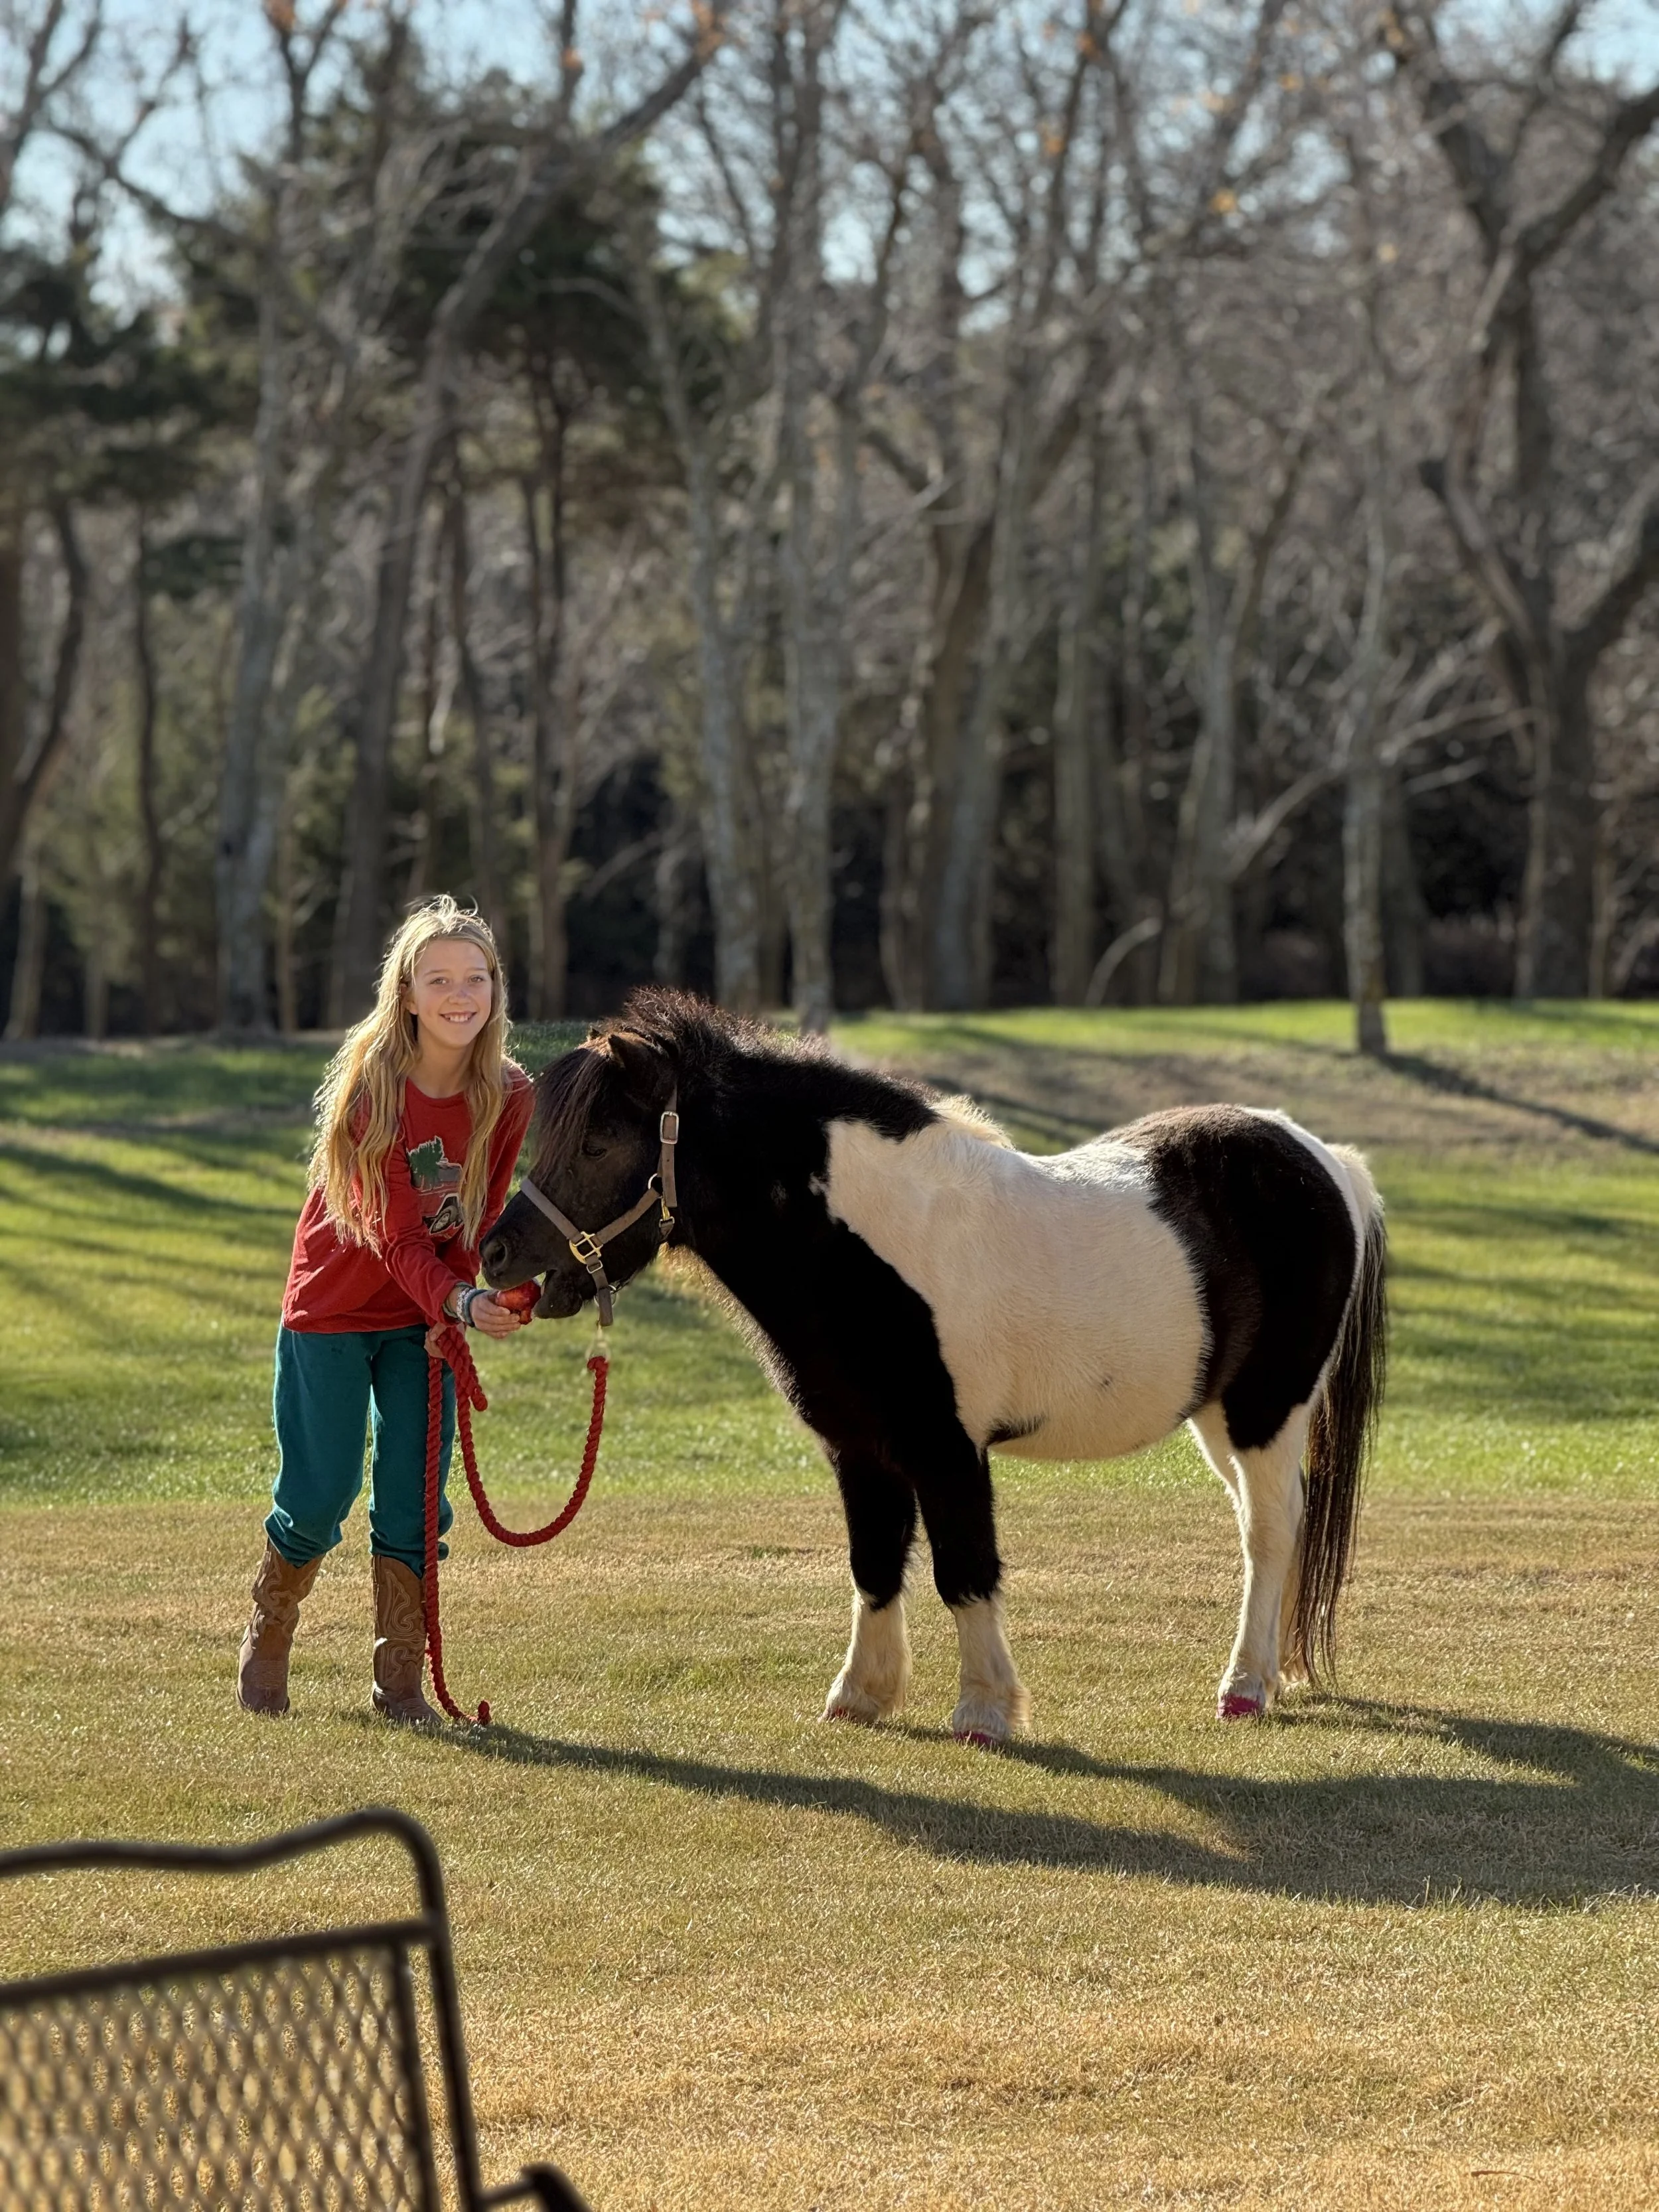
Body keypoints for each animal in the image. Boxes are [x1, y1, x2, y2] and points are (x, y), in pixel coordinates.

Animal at [480, 990, 1388, 1743]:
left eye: (599, 1142)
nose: (494, 1253)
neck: (874, 1243)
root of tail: (1325, 1159)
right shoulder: (859, 1450)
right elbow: (875, 1564)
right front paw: (859, 1698)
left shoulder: (948, 1450)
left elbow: (964, 1570)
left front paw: (984, 1711)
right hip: (1218, 1418)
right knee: (1271, 1521)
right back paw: (1272, 1674)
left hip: (1267, 1407)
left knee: (1268, 1529)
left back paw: (1243, 1688)